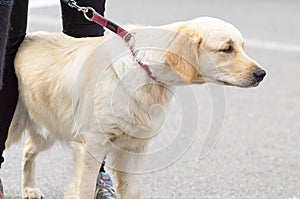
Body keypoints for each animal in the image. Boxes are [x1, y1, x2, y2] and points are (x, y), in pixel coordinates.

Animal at [6, 17, 264, 199]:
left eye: (242, 46)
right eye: (227, 48)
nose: (261, 74)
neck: (143, 66)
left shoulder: (135, 146)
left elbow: (132, 190)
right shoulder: (92, 144)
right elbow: (84, 190)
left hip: (46, 130)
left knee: (28, 150)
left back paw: (29, 189)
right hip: (15, 126)